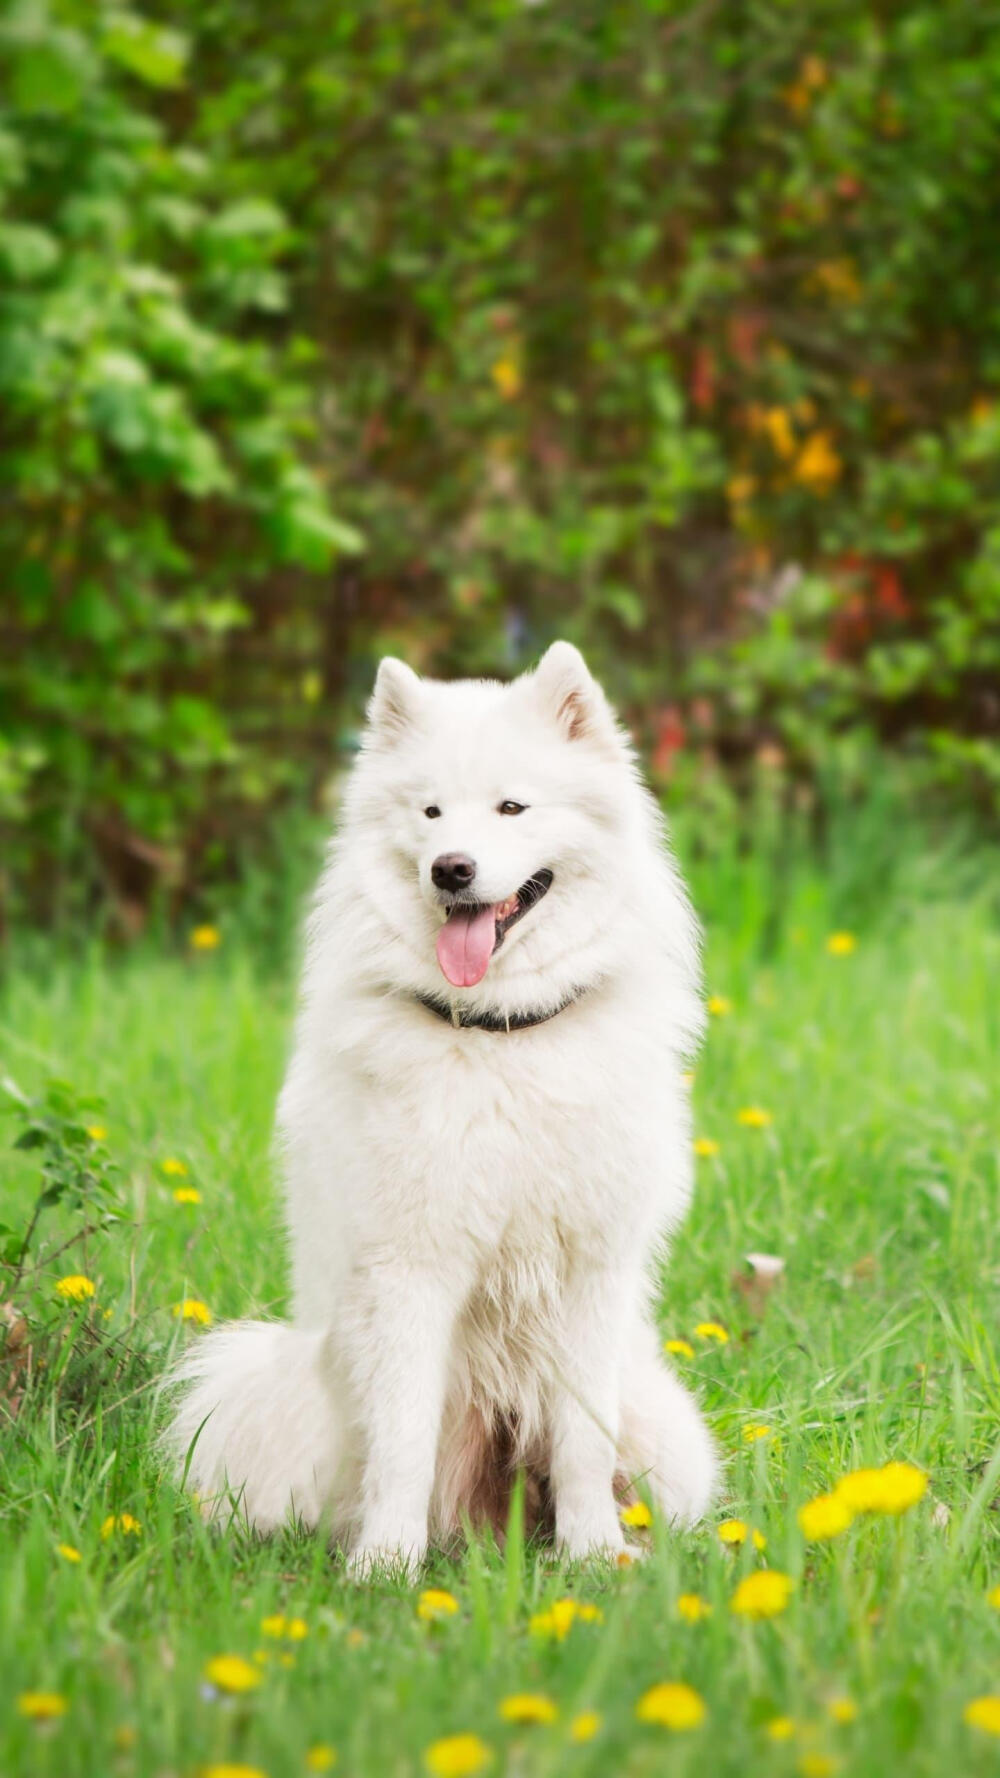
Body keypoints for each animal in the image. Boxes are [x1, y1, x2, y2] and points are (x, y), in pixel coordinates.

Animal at [169, 640, 715, 1571]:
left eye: (511, 806)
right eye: (429, 812)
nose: (451, 868)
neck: (500, 1037)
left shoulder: (589, 1276)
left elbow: (582, 1441)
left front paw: (593, 1557)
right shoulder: (408, 1272)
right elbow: (403, 1442)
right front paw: (385, 1569)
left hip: (664, 1429)